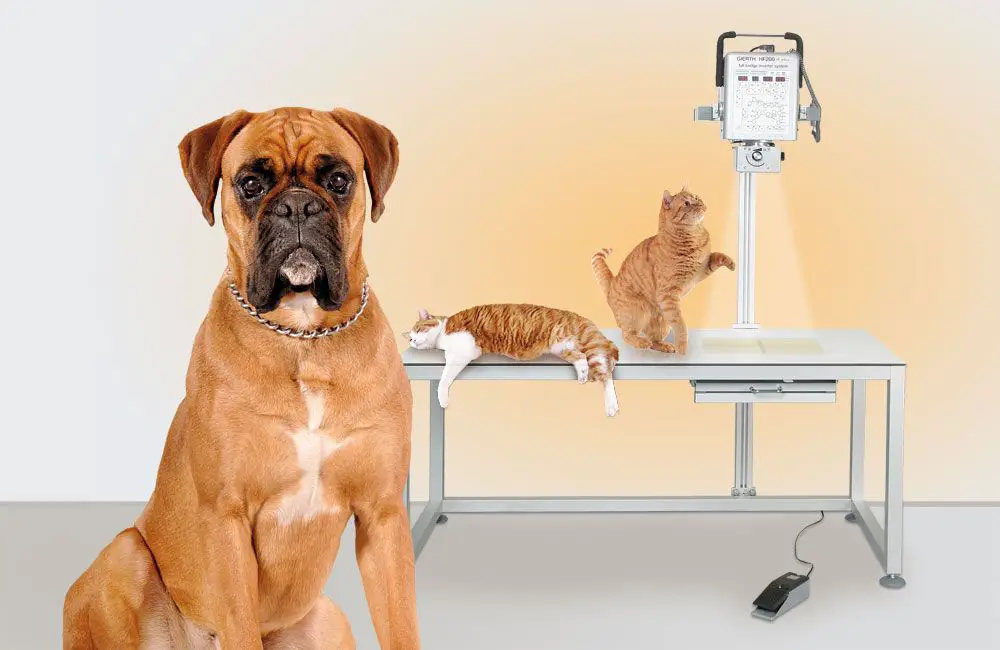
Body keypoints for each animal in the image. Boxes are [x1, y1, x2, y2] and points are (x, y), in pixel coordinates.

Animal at [64, 107, 418, 648]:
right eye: (251, 184)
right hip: (124, 555)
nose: (297, 207)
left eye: (339, 180)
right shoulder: (227, 519)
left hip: (326, 617)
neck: (303, 338)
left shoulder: (383, 518)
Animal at [404, 304, 620, 416]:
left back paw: (612, 406)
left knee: (605, 373)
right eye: (410, 338)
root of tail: (579, 318)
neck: (442, 333)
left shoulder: (463, 352)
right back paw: (583, 374)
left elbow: (444, 379)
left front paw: (443, 399)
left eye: (419, 330)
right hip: (563, 347)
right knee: (583, 359)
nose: (413, 341)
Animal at [584, 185, 736, 354]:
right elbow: (681, 324)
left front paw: (731, 263)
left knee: (654, 339)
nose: (700, 203)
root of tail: (612, 282)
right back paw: (641, 342)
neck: (694, 235)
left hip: (662, 322)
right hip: (638, 313)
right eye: (686, 204)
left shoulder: (701, 271)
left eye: (696, 198)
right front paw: (683, 348)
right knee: (627, 334)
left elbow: (717, 256)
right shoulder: (668, 295)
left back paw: (664, 346)